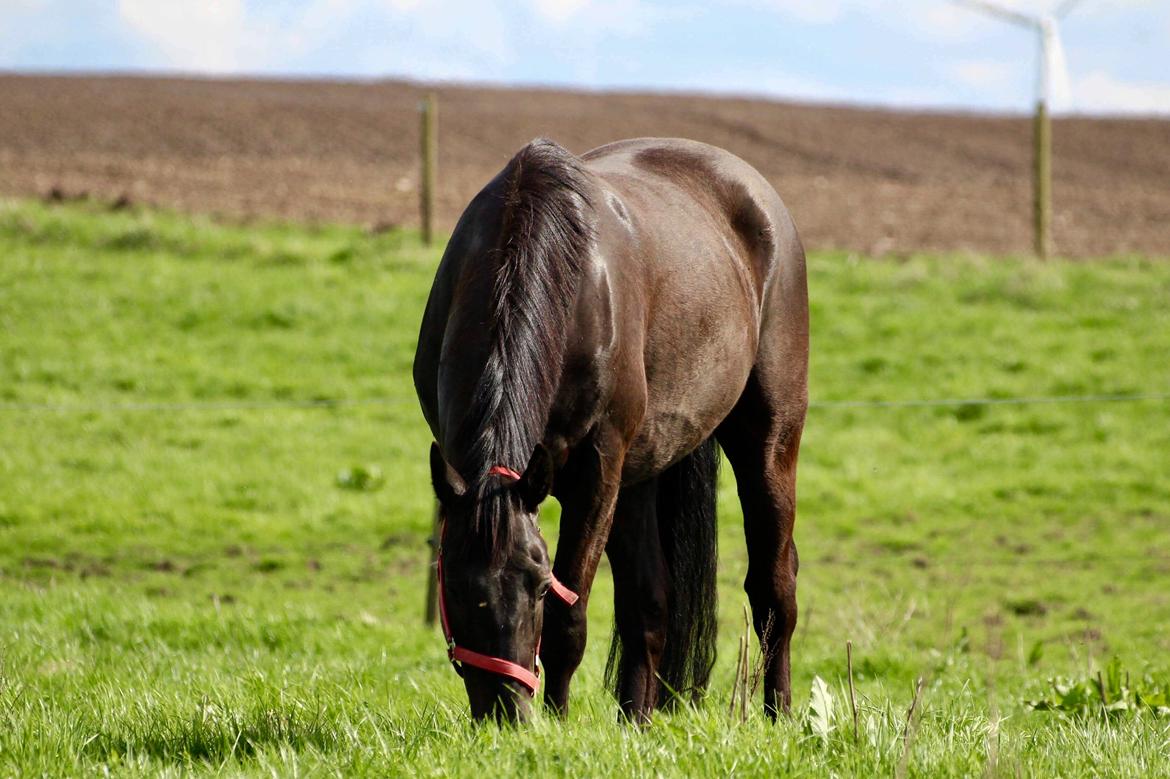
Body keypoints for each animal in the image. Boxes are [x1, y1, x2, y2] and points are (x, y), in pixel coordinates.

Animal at [416, 135, 809, 720]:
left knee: (773, 591)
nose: (506, 712)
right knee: (650, 605)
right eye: (457, 588)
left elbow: (569, 620)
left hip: (768, 443)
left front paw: (557, 723)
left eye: (538, 586)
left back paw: (777, 714)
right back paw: (635, 722)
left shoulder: (595, 474)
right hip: (641, 472)